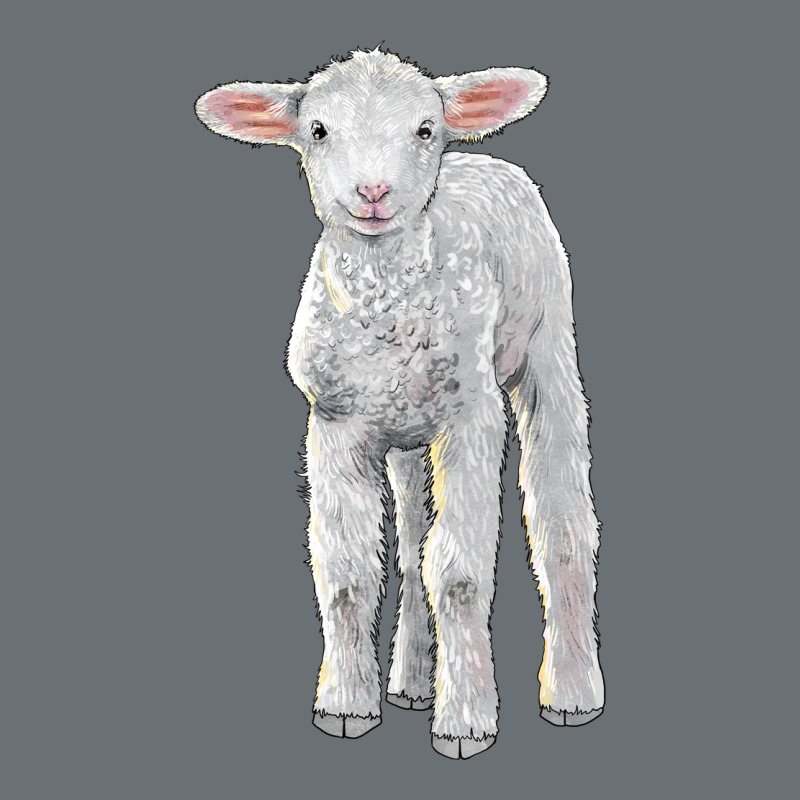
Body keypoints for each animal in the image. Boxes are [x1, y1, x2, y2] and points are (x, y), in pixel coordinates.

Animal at [195, 47, 604, 759]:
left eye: (423, 128)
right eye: (318, 129)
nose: (373, 192)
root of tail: (480, 159)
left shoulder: (472, 419)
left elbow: (461, 575)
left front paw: (466, 722)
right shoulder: (334, 424)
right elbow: (347, 574)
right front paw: (345, 706)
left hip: (547, 345)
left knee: (560, 521)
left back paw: (572, 692)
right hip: (408, 434)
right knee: (413, 542)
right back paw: (411, 683)